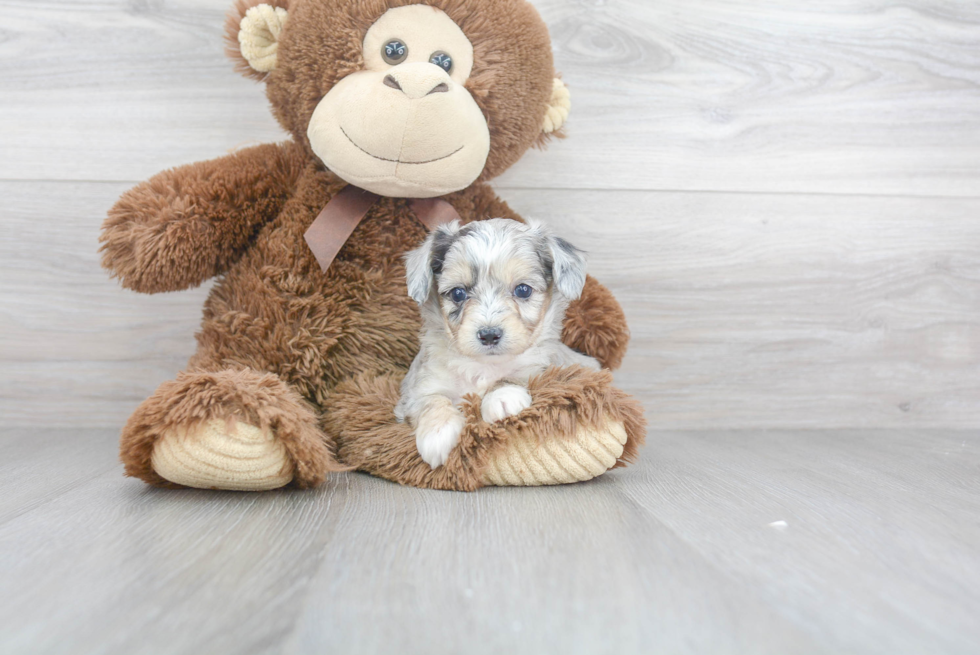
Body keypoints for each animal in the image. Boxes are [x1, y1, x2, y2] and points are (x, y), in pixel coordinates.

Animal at [396, 218, 596, 468]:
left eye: (523, 290)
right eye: (458, 293)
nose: (489, 335)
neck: (483, 365)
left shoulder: (539, 369)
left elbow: (511, 376)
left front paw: (502, 396)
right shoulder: (418, 389)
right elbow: (432, 400)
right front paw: (437, 433)